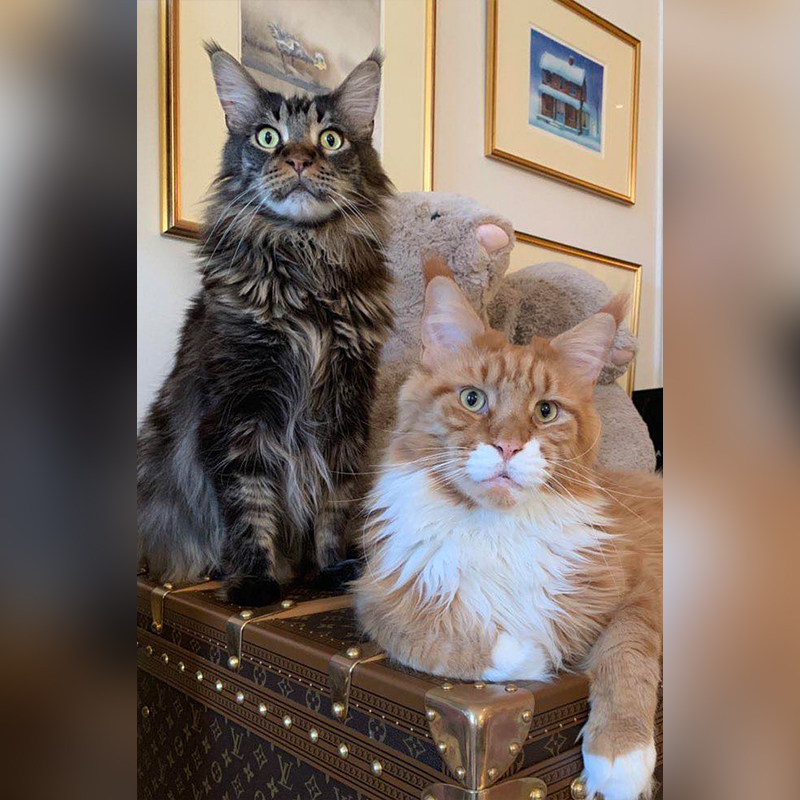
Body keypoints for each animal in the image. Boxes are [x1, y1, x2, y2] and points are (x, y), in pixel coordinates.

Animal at [138, 43, 394, 604]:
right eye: (267, 136)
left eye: (331, 139)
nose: (298, 158)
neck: (305, 272)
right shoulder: (240, 408)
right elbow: (248, 502)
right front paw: (256, 580)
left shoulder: (343, 411)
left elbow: (332, 502)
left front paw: (331, 569)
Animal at [356, 260, 664, 800]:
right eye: (472, 399)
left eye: (546, 411)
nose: (508, 447)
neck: (497, 530)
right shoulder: (378, 593)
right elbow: (445, 638)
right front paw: (538, 653)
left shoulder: (643, 587)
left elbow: (627, 654)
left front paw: (620, 755)